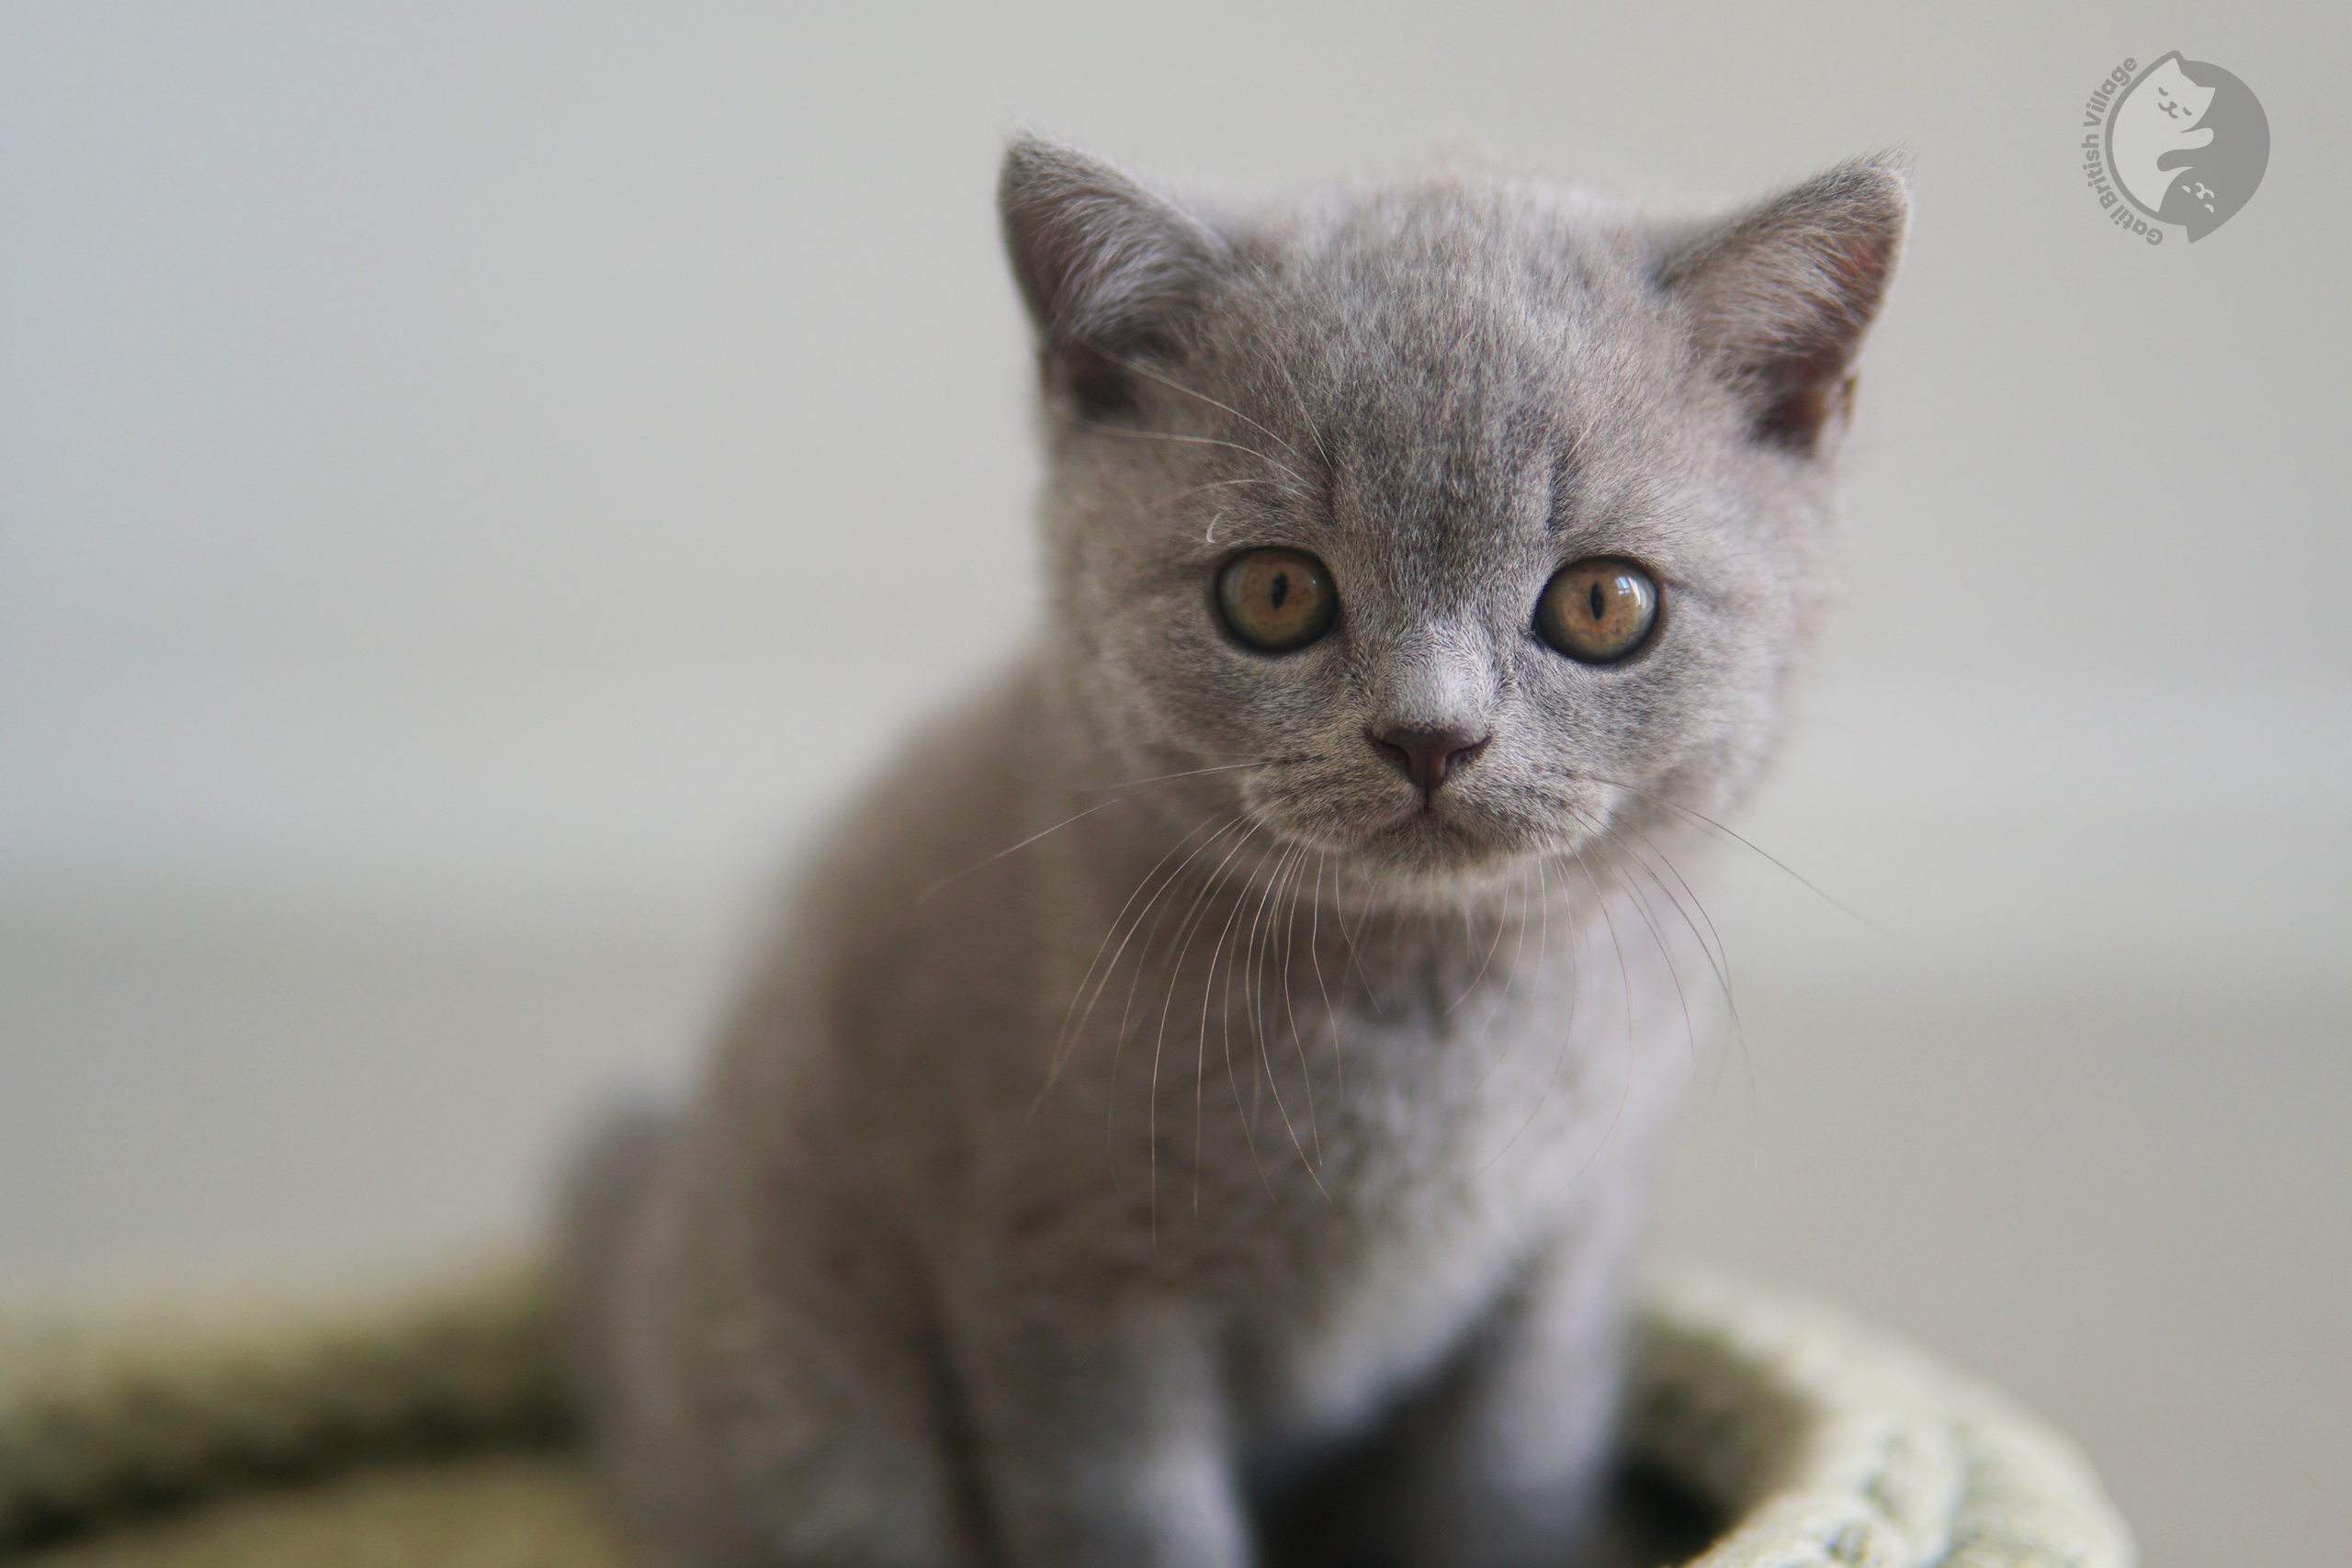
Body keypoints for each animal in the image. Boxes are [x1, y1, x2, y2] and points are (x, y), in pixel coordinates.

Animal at [569, 135, 1909, 1568]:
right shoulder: (1064, 1281)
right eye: (1272, 593)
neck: (1426, 1019)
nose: (1431, 735)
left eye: (1605, 604)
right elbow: (1135, 1518)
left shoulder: (1559, 1262)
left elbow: (1504, 1483)